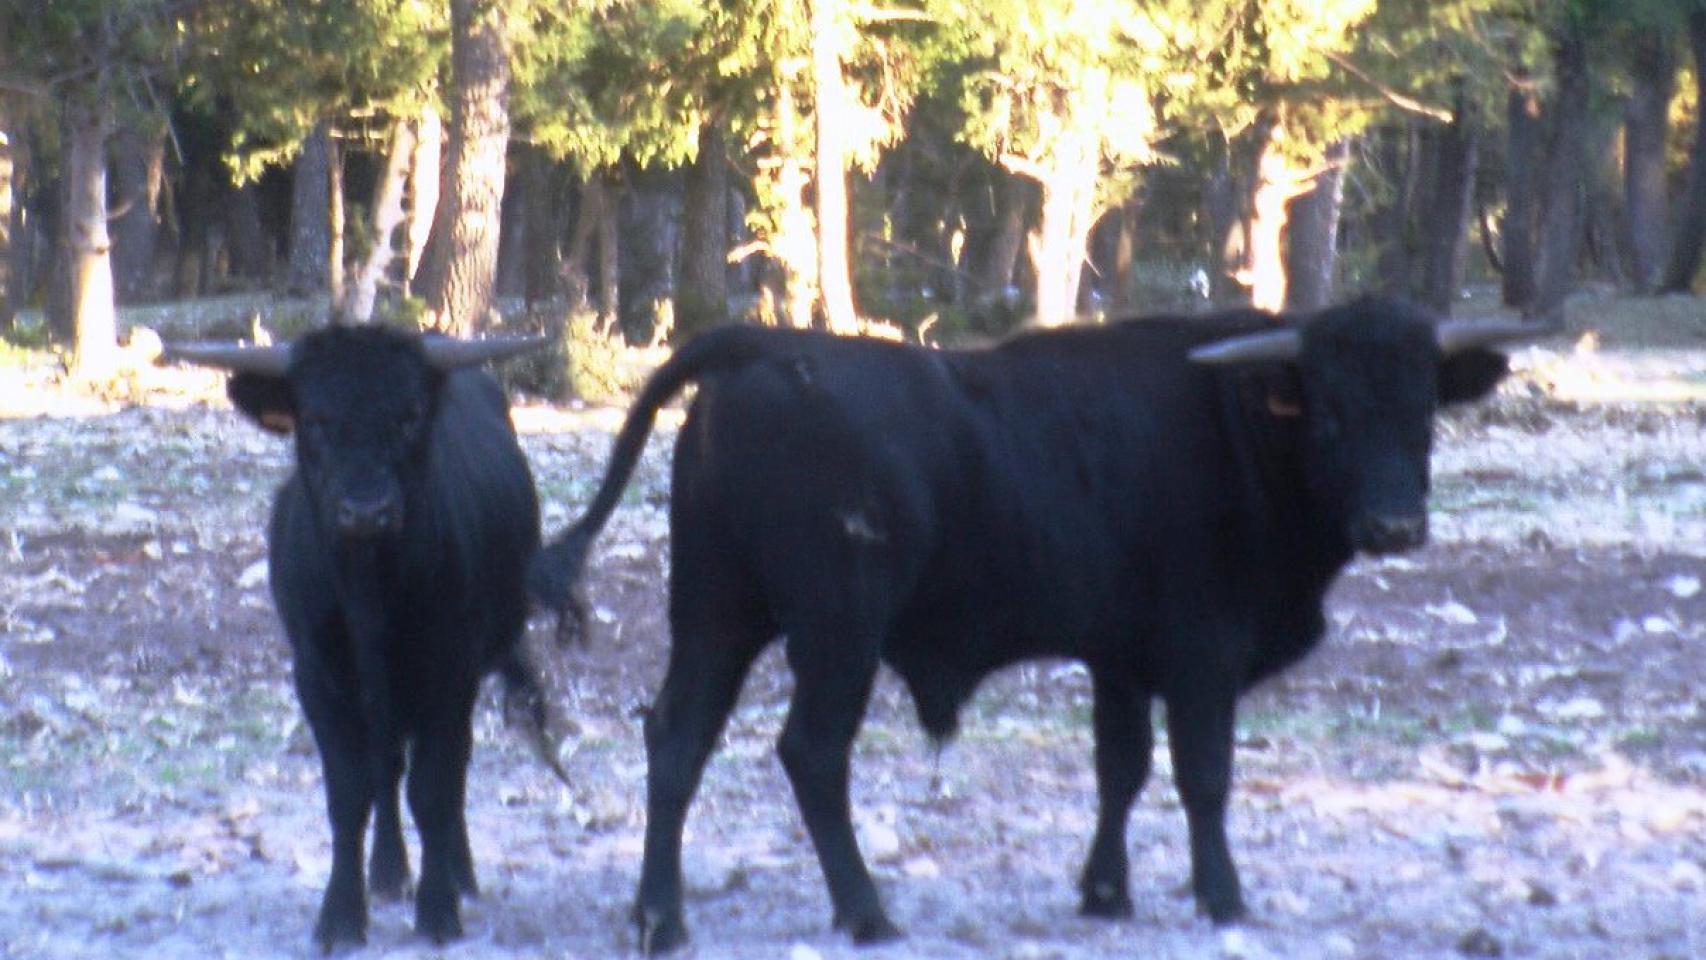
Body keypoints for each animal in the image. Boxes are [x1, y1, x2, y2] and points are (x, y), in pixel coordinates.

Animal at [162, 325, 542, 954]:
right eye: (315, 419)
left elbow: (435, 787)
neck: (371, 597)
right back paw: (386, 872)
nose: (365, 510)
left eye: (409, 416)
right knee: (386, 770)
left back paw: (456, 873)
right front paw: (341, 914)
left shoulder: (451, 673)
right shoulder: (318, 677)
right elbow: (349, 793)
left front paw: (437, 908)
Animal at [525, 294, 1542, 954]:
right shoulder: (1201, 656)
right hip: (835, 633)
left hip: (716, 617)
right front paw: (1222, 895)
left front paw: (1105, 891)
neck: (1241, 425)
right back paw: (866, 913)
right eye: (1328, 411)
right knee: (810, 752)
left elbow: (1121, 770)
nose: (1394, 526)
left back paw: (661, 918)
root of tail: (766, 350)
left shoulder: (1121, 661)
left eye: (1422, 411)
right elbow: (1203, 777)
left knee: (678, 740)